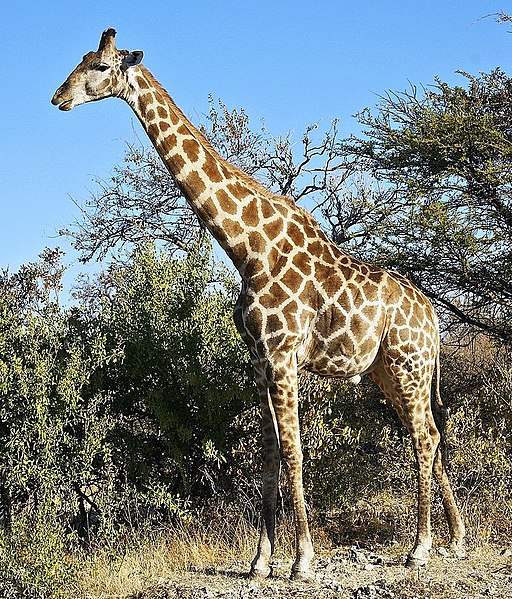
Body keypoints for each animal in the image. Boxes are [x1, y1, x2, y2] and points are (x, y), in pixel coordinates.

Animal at [52, 29, 464, 580]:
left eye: (98, 66)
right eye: (81, 60)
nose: (58, 98)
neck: (249, 250)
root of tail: (434, 317)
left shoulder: (283, 355)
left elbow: (293, 452)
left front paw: (302, 559)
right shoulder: (258, 358)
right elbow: (268, 454)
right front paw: (260, 560)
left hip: (407, 364)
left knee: (423, 438)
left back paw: (420, 548)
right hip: (386, 370)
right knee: (432, 435)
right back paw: (454, 539)